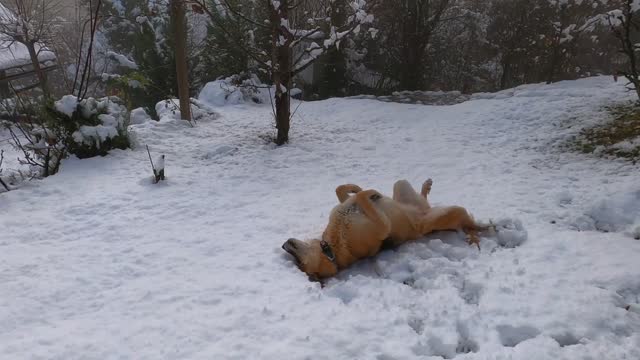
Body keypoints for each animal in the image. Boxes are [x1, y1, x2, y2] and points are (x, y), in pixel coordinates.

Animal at [282, 180, 488, 282]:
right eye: (299, 262)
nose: (283, 245)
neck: (333, 248)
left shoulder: (345, 204)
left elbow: (341, 190)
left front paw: (356, 188)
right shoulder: (383, 227)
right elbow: (363, 197)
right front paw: (365, 192)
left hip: (403, 188)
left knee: (419, 196)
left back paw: (426, 185)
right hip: (443, 215)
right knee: (467, 223)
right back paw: (480, 231)